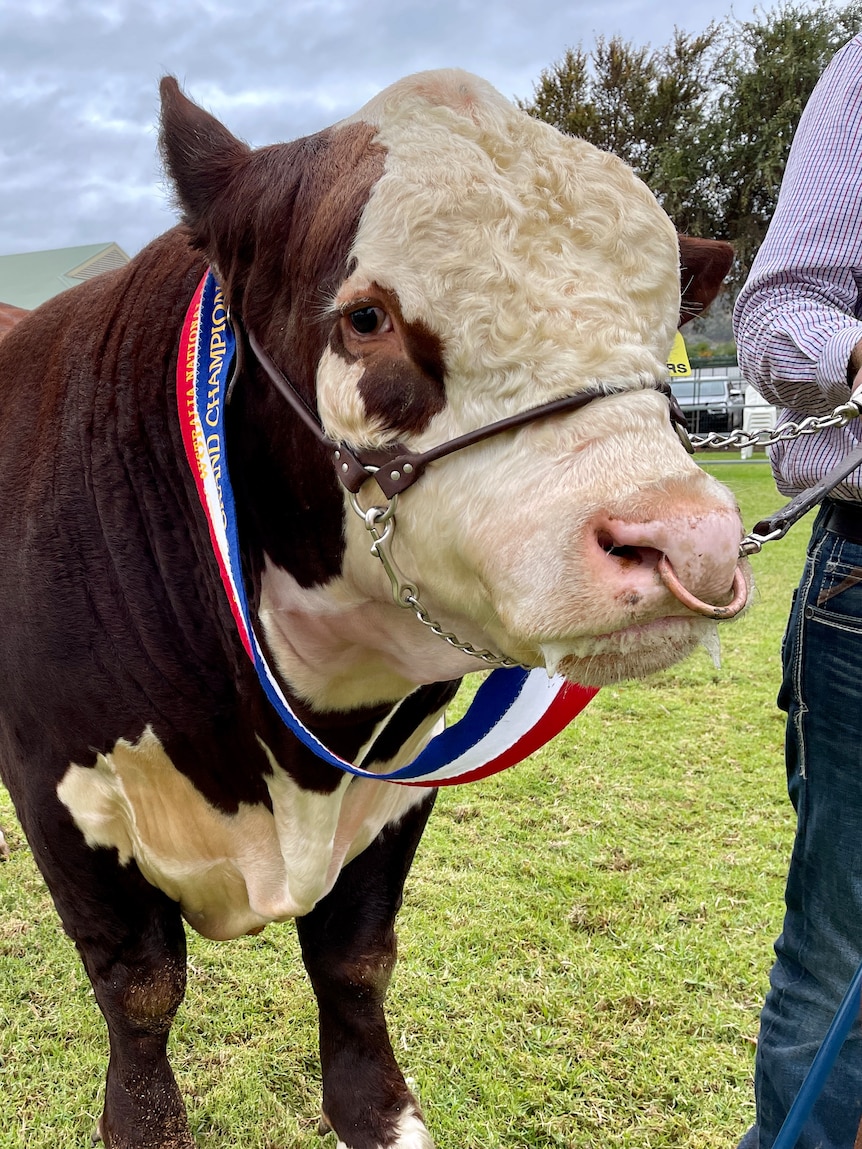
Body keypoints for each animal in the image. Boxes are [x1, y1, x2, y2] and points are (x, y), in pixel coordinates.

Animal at [0, 74, 744, 1149]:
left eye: (660, 330)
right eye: (364, 317)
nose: (690, 539)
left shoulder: (399, 788)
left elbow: (355, 972)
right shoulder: (60, 790)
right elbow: (141, 995)